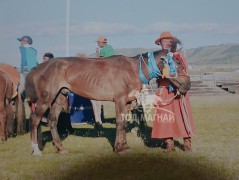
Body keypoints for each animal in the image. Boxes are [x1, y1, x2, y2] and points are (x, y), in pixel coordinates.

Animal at [25, 41, 190, 155]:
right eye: (177, 62)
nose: (187, 85)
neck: (132, 69)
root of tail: (37, 68)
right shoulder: (120, 100)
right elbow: (119, 123)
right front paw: (118, 148)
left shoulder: (128, 102)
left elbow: (124, 123)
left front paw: (124, 145)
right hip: (45, 100)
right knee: (34, 120)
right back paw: (36, 150)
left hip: (60, 97)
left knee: (52, 120)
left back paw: (61, 149)